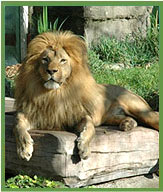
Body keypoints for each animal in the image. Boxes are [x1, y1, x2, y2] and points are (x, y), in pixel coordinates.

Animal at [14, 30, 159, 161]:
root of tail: (126, 89)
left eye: (63, 60)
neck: (55, 94)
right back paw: (127, 124)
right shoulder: (35, 114)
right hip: (110, 117)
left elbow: (90, 126)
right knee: (128, 118)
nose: (51, 71)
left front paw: (84, 147)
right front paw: (24, 148)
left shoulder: (78, 115)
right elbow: (17, 124)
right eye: (45, 59)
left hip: (140, 110)